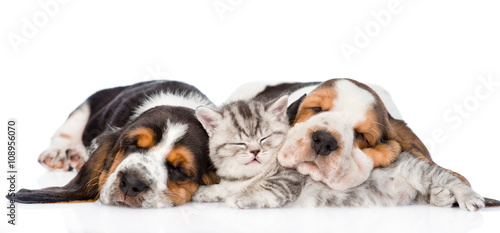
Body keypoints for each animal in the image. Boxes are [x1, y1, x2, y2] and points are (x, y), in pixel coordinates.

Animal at [7, 80, 219, 208]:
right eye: (132, 144)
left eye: (179, 170)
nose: (131, 183)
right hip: (83, 110)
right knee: (63, 134)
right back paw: (59, 155)